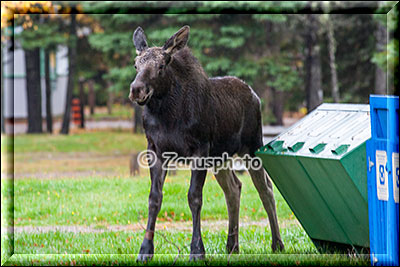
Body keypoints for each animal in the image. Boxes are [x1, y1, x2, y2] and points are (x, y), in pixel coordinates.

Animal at [130, 25, 282, 262]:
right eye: (136, 64)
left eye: (162, 65)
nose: (137, 89)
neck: (167, 115)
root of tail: (255, 95)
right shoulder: (155, 150)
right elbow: (154, 198)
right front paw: (145, 251)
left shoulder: (199, 149)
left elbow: (194, 197)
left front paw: (197, 250)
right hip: (221, 157)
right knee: (234, 188)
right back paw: (232, 246)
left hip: (252, 146)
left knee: (265, 187)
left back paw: (277, 244)